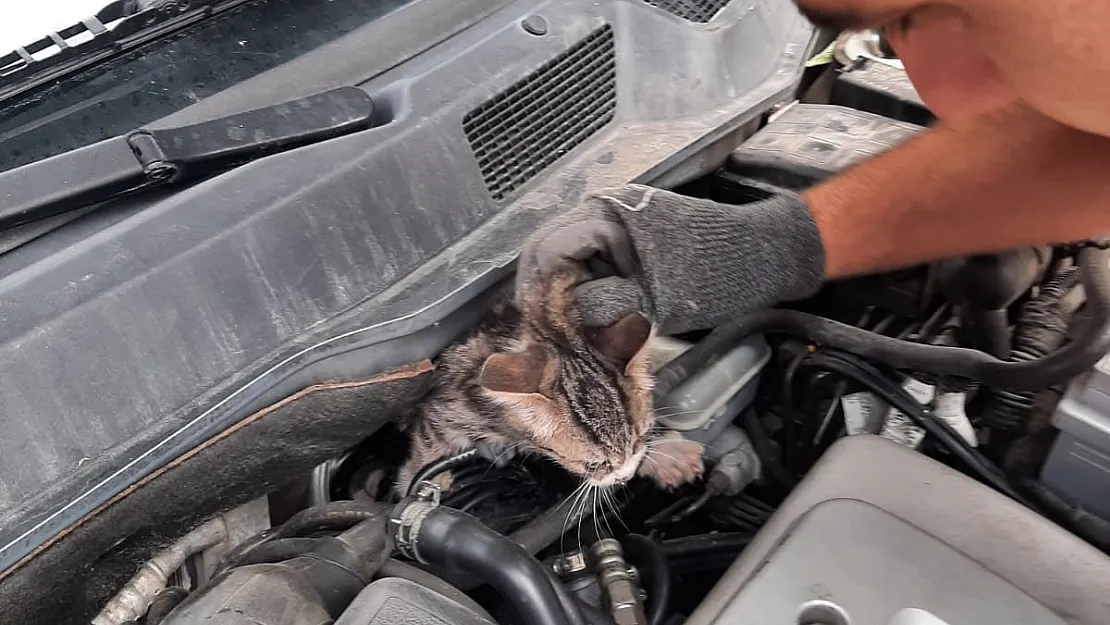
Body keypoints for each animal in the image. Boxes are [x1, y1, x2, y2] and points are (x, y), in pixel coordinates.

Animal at [395, 271, 697, 497]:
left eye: (638, 441)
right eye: (593, 465)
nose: (625, 477)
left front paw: (664, 454)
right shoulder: (449, 400)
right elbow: (430, 438)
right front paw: (420, 481)